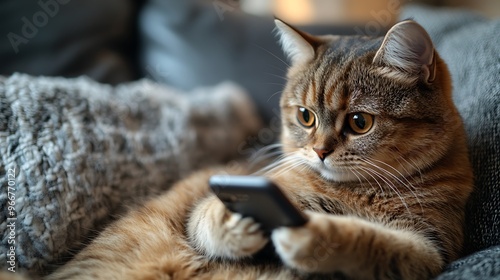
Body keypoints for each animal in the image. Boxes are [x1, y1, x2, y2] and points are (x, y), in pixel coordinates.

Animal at [47, 20, 472, 280]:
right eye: (305, 116)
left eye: (359, 122)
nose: (319, 152)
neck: (354, 192)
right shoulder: (222, 196)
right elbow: (205, 215)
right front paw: (232, 224)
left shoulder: (427, 247)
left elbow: (370, 241)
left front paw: (315, 234)